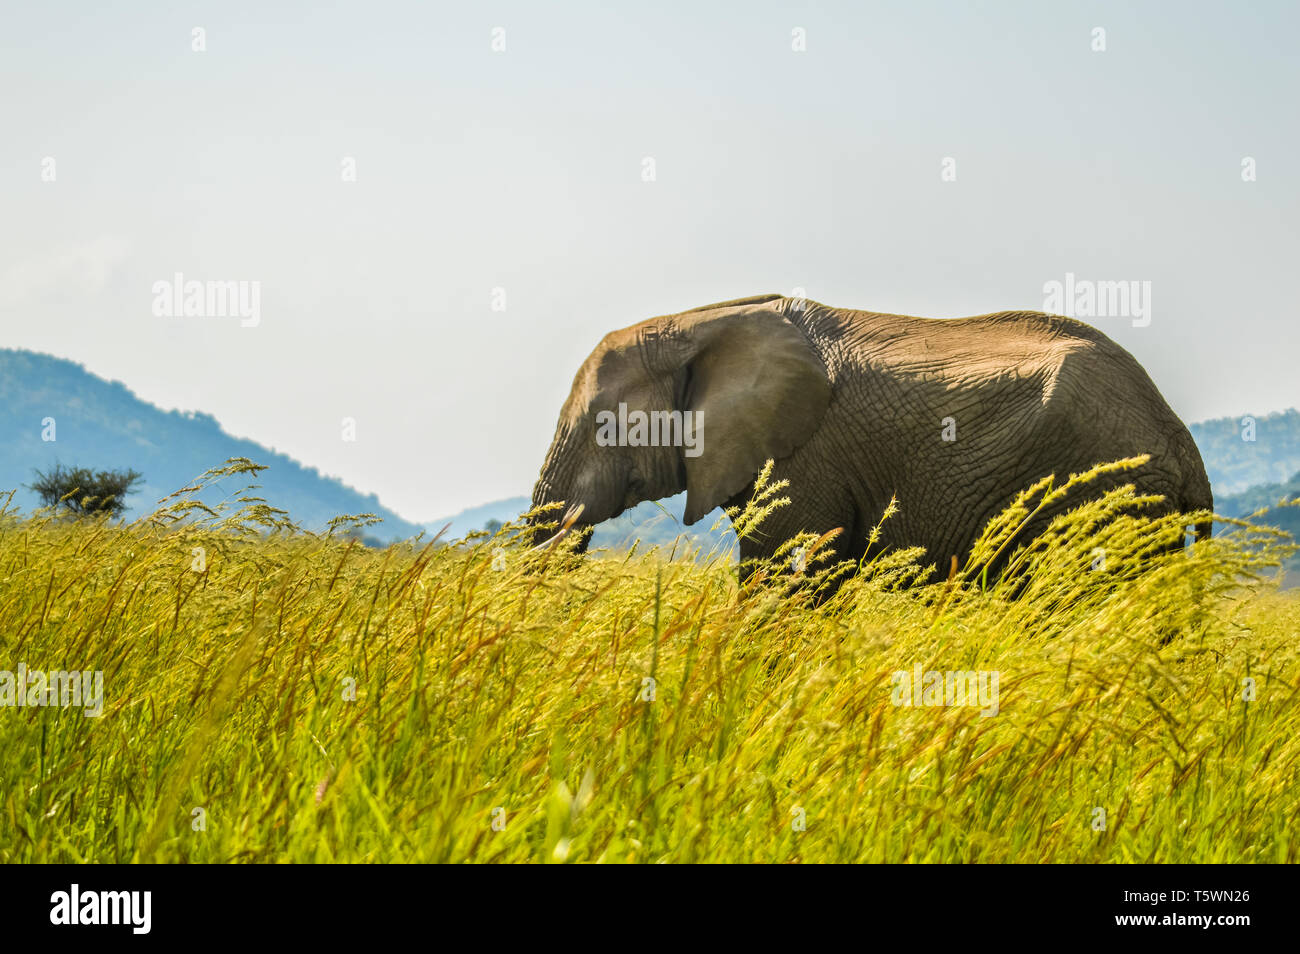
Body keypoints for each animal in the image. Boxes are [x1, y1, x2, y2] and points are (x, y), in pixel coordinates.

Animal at [529, 293, 1212, 584]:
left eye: (601, 423)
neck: (701, 320)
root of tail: (1181, 442)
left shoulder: (806, 459)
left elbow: (788, 581)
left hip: (1106, 495)